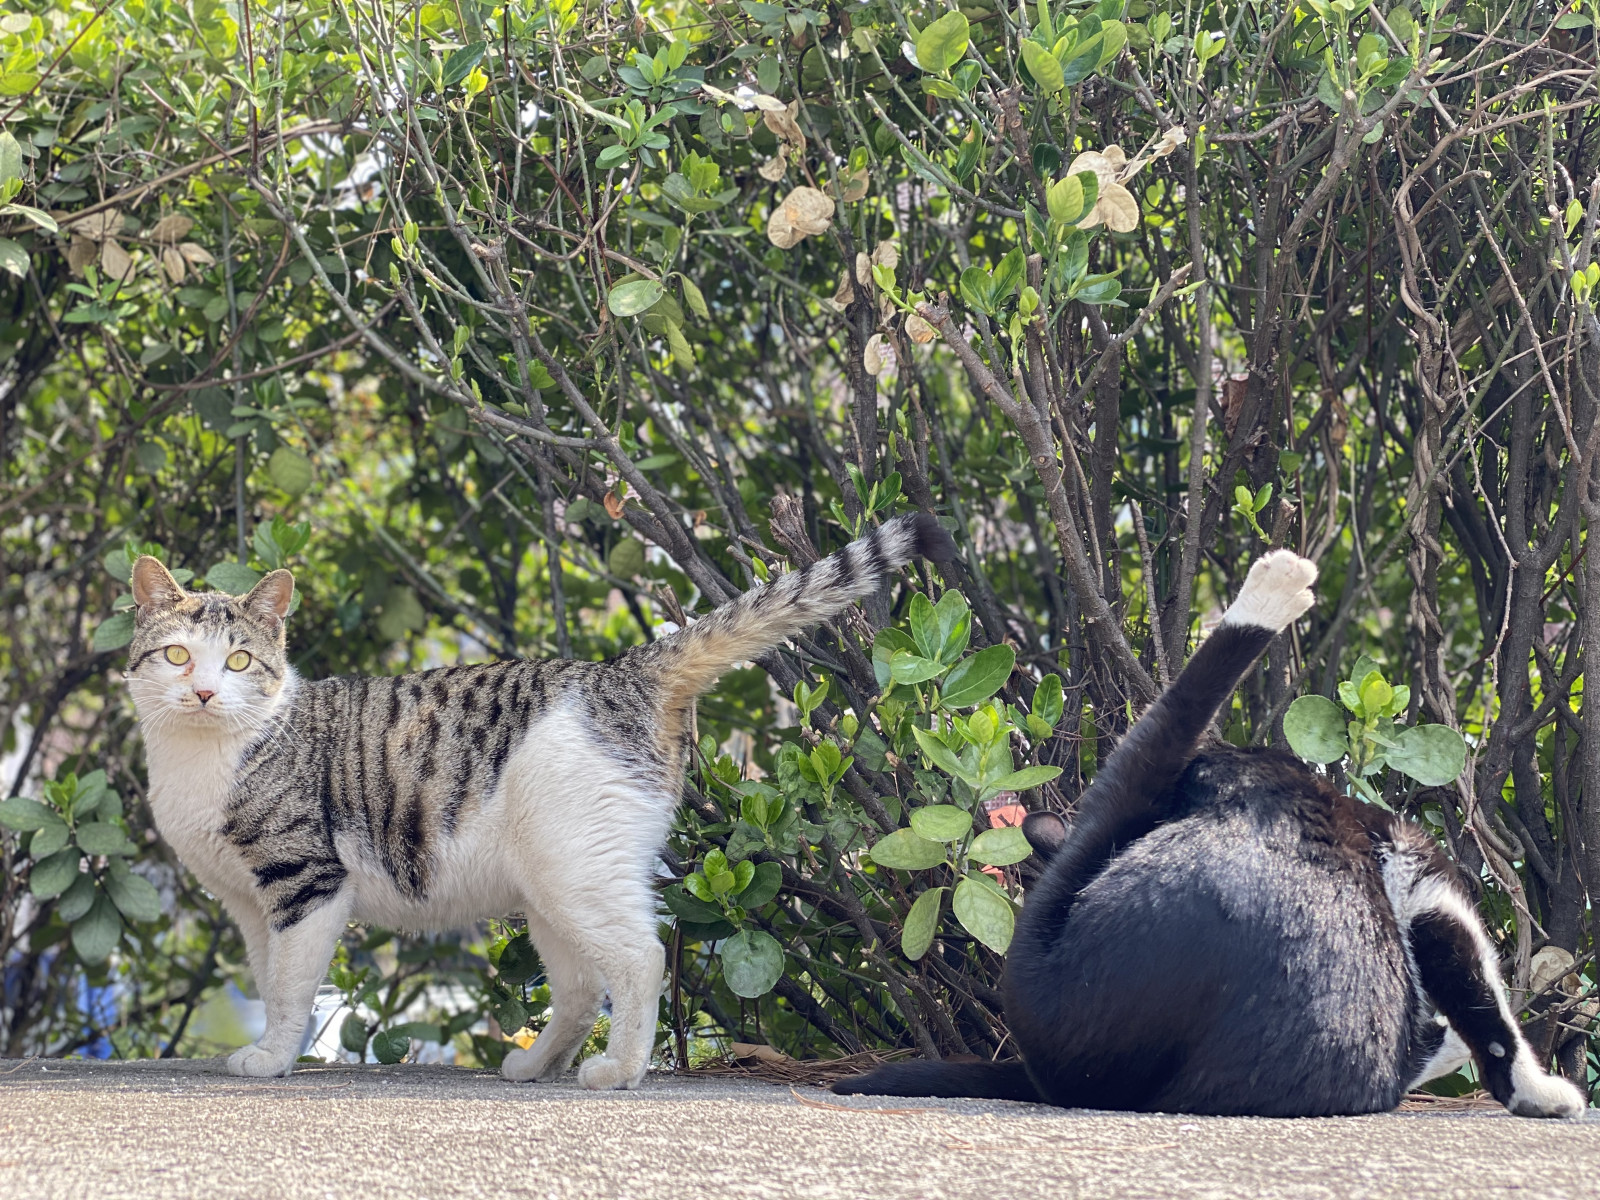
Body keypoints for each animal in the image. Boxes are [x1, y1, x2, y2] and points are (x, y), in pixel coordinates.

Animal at [125, 512, 955, 1085]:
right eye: (177, 655)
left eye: (239, 661)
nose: (204, 692)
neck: (201, 757)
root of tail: (621, 670)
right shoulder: (248, 903)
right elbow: (268, 978)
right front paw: (268, 1046)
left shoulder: (306, 882)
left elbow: (292, 985)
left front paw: (271, 1059)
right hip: (549, 889)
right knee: (583, 987)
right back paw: (535, 1067)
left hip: (575, 872)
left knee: (640, 958)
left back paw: (618, 1072)